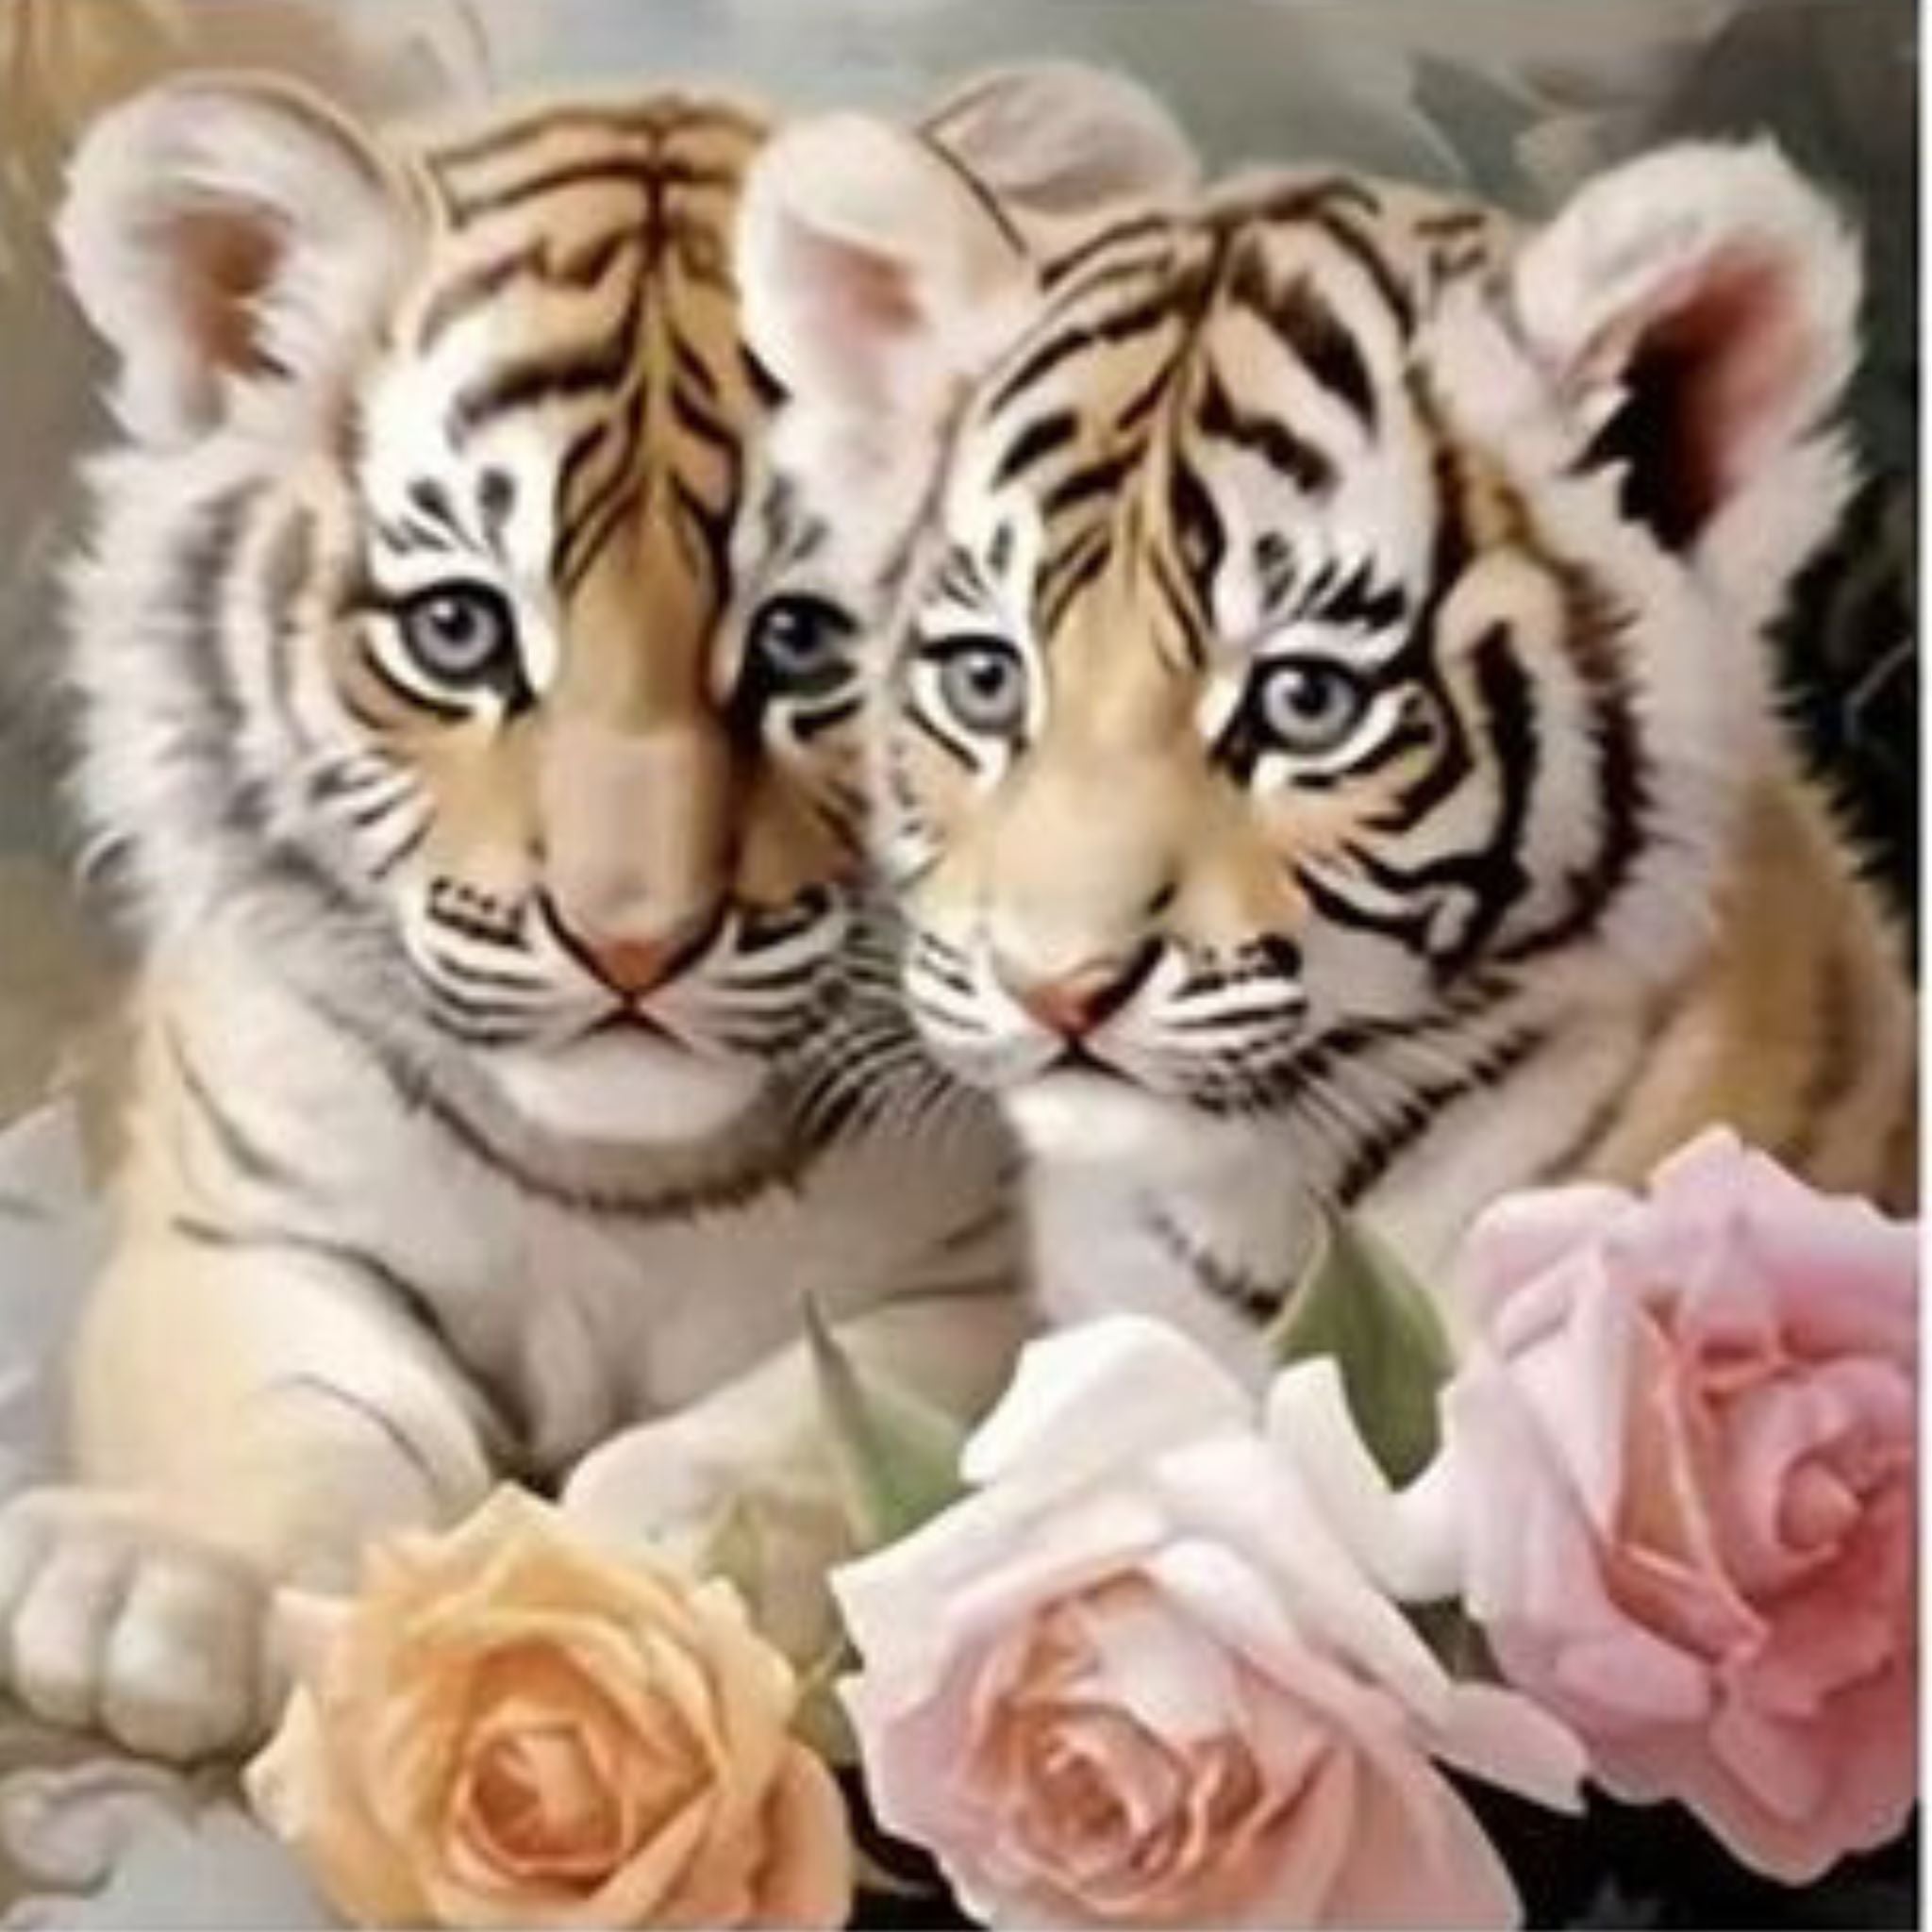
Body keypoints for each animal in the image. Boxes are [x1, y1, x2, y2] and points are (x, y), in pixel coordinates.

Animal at [5, 66, 1194, 1762]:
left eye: (806, 640)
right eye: (458, 628)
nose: (630, 940)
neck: (604, 1181)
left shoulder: (989, 1287)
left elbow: (804, 1430)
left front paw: (646, 1563)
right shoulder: (238, 1228)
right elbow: (292, 1410)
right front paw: (158, 1592)